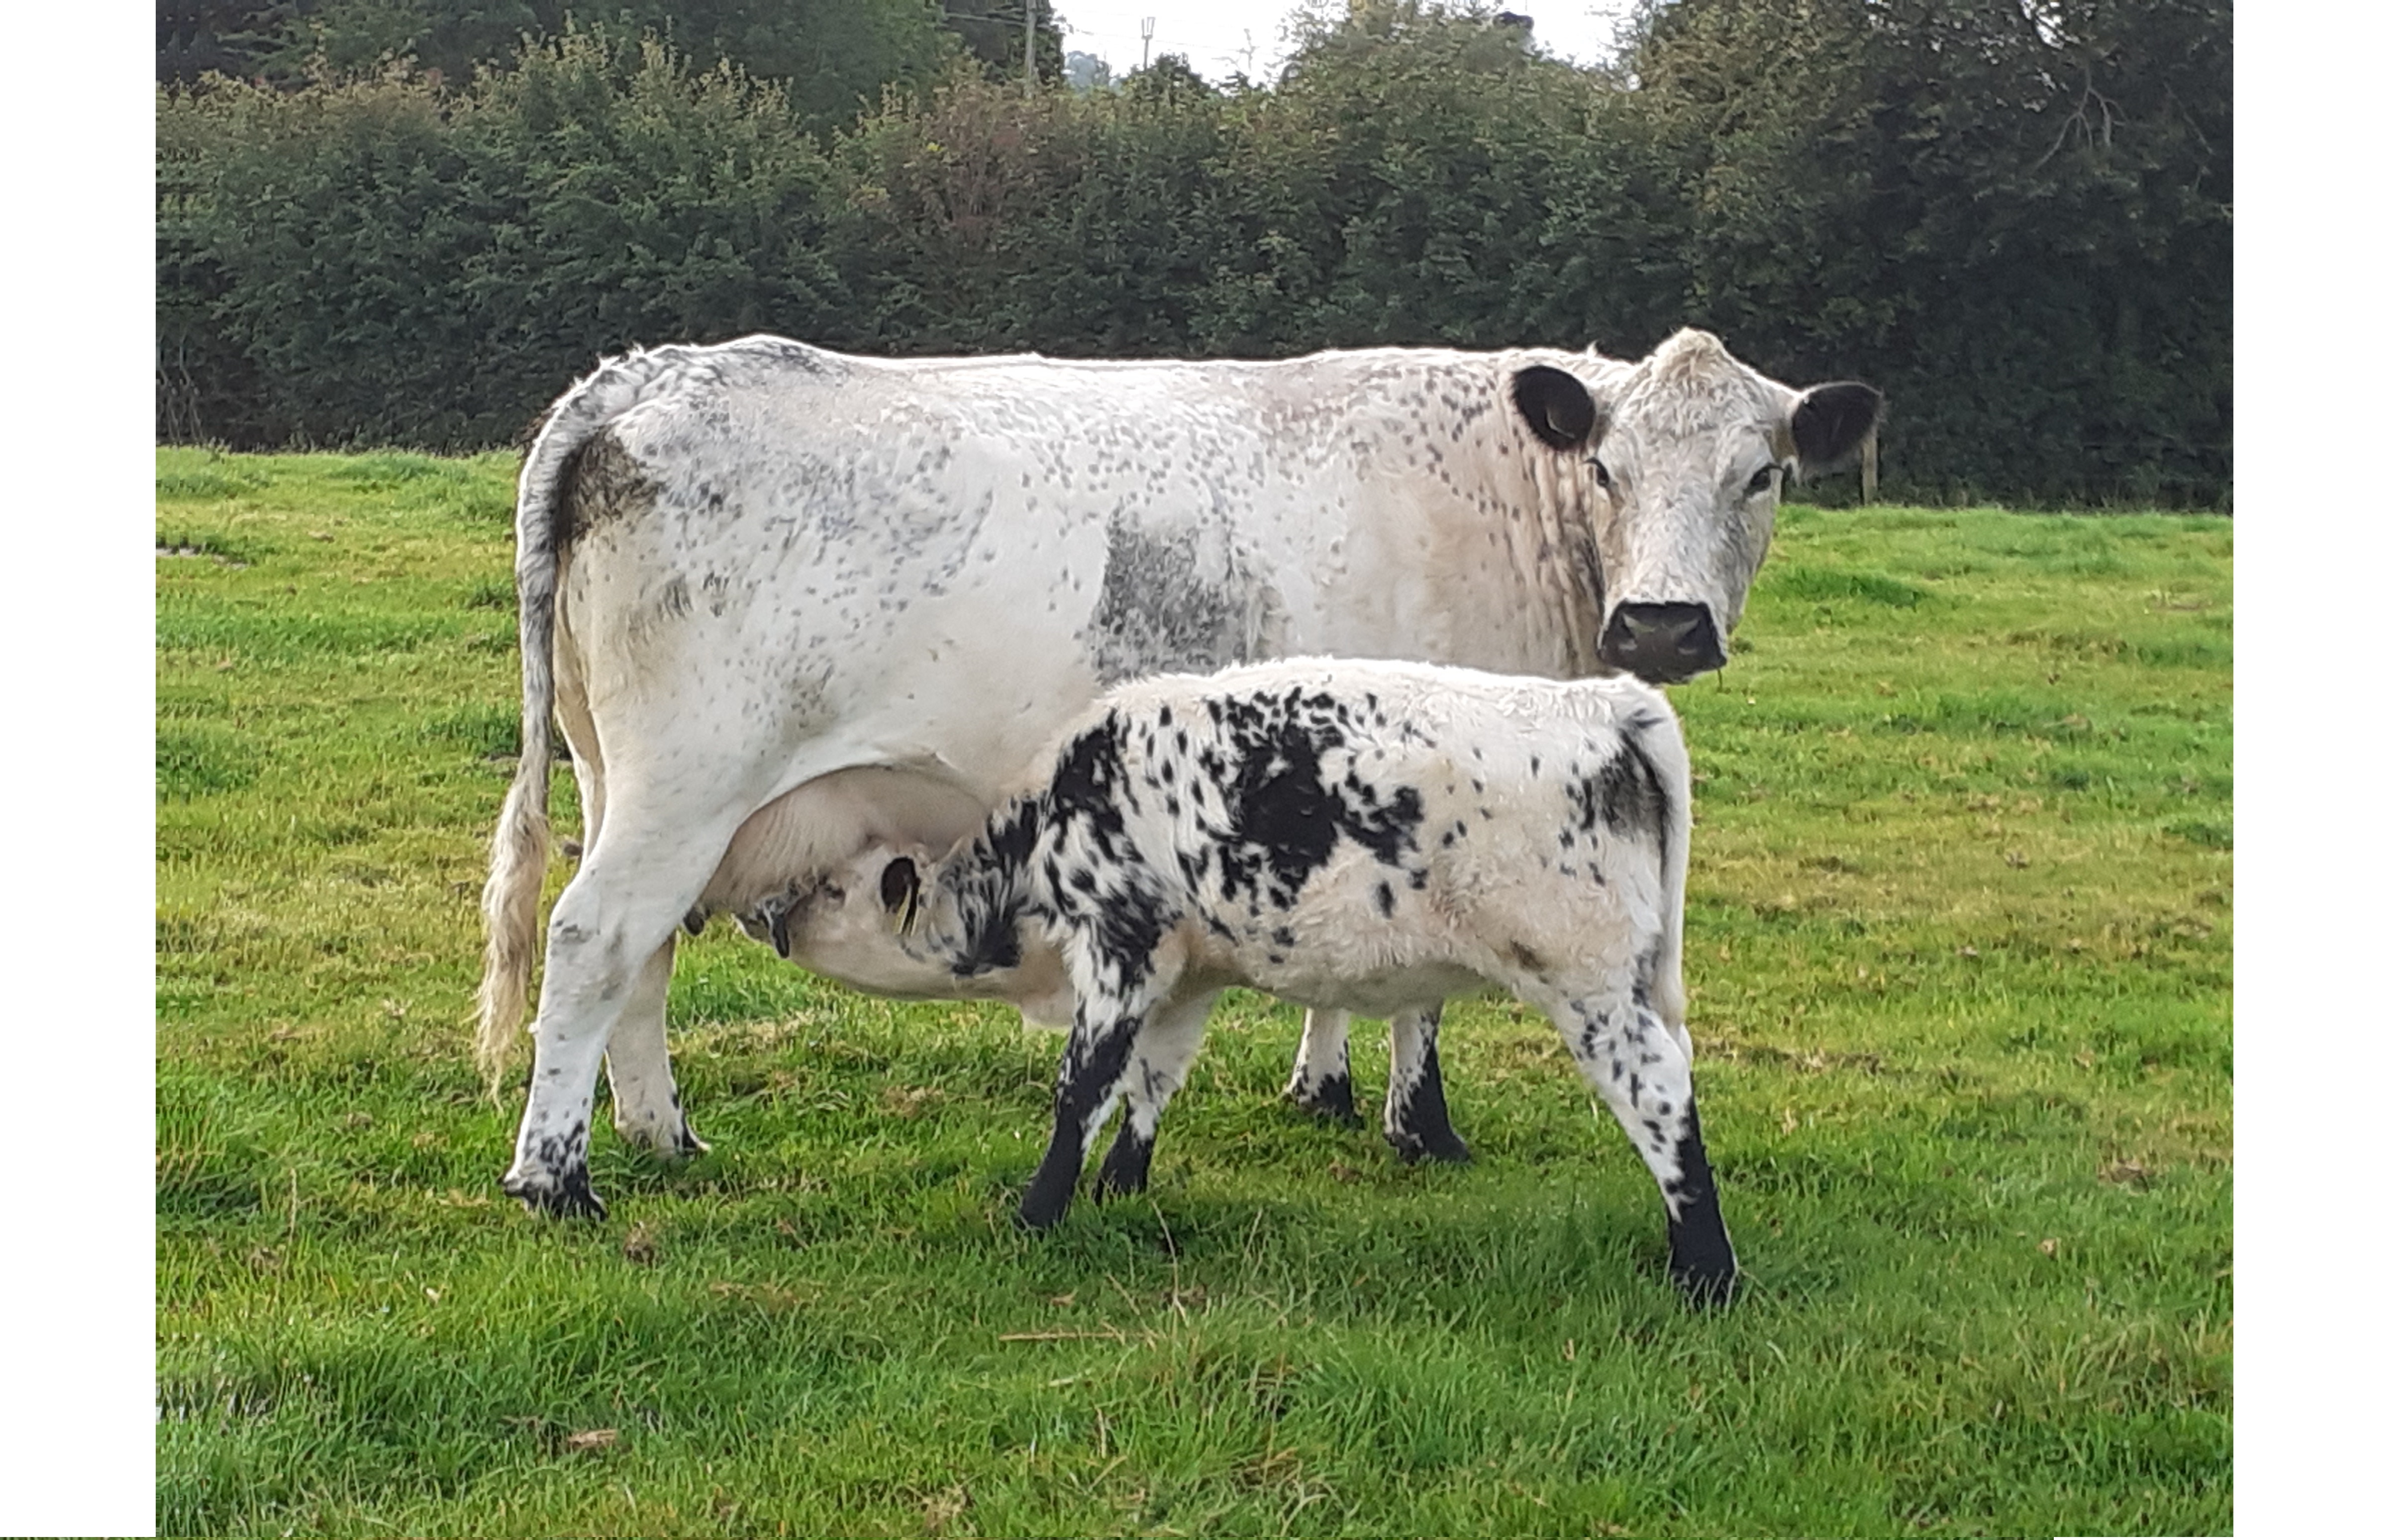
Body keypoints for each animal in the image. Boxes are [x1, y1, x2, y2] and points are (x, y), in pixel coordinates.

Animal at [474, 327, 1878, 1213]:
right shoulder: (1438, 787)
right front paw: (1418, 1129)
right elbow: (1423, 1002)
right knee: (594, 939)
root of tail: (650, 375)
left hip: (632, 782)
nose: (1661, 625)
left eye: (1762, 475)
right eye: (1605, 466)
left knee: (646, 952)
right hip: (690, 774)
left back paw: (661, 1136)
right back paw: (555, 1179)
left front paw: (1320, 1084)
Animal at [896, 654, 1743, 1309]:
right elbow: (1153, 1079)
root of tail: (1608, 702)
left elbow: (1085, 1085)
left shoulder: (1122, 943)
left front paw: (1035, 1217)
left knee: (1658, 1089)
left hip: (1585, 980)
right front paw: (1120, 1186)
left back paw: (1706, 1273)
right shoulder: (1188, 970)